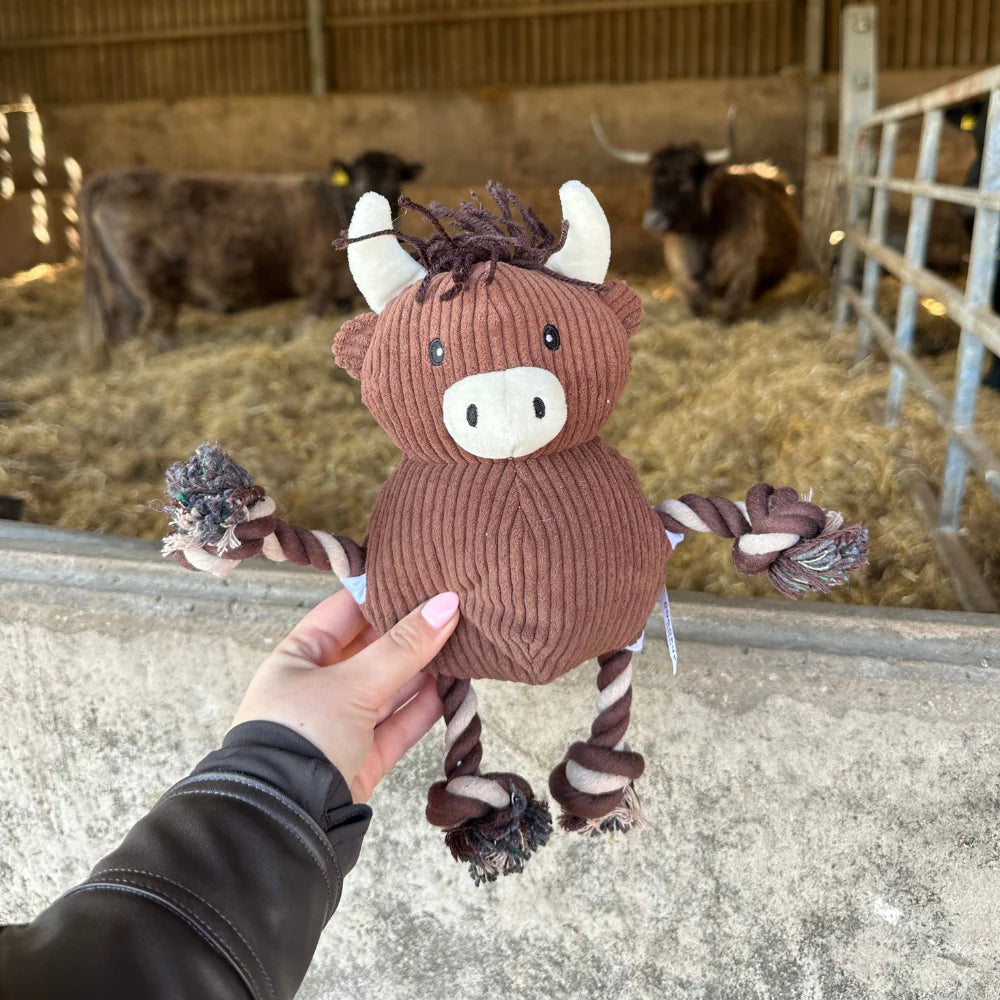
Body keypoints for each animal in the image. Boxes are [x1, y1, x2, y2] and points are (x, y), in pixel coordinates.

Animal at [78, 151, 422, 364]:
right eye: (359, 183)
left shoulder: (341, 294)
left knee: (124, 322)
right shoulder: (317, 286)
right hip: (152, 287)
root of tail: (115, 176)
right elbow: (304, 327)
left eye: (397, 181)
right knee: (160, 327)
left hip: (123, 285)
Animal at [592, 110, 801, 323]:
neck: (702, 241)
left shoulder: (743, 270)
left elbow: (728, 312)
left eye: (686, 183)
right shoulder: (681, 274)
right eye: (652, 182)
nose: (653, 220)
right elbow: (697, 307)